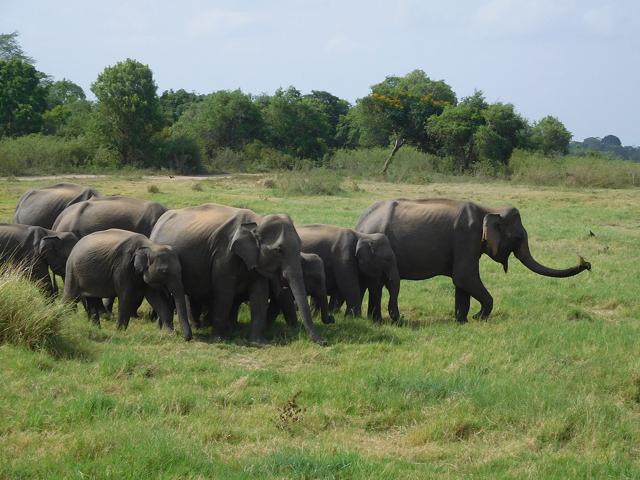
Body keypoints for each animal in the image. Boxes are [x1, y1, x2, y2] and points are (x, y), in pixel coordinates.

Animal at [63, 229, 191, 342]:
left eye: (181, 270)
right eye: (164, 271)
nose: (186, 338)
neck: (150, 245)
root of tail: (76, 245)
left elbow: (156, 299)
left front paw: (170, 334)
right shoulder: (122, 267)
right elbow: (125, 296)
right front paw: (119, 331)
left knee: (92, 300)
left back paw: (96, 329)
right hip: (72, 270)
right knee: (69, 297)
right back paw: (65, 321)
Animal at [149, 204, 320, 344]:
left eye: (300, 245)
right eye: (279, 250)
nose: (322, 342)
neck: (257, 221)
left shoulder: (254, 259)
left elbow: (260, 293)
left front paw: (259, 342)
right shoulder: (224, 254)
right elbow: (225, 291)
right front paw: (219, 339)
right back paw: (191, 327)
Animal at [356, 199, 592, 322]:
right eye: (518, 238)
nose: (586, 263)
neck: (489, 208)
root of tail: (361, 220)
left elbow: (461, 283)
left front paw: (461, 319)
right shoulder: (467, 236)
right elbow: (464, 277)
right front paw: (479, 317)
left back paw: (375, 320)